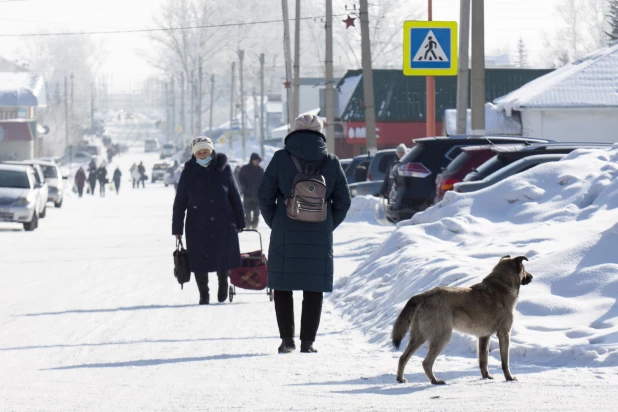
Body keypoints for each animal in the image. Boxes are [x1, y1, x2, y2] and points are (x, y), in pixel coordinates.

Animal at [392, 256, 532, 384]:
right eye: (525, 270)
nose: (531, 277)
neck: (502, 285)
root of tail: (424, 295)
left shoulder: (484, 336)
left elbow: (483, 360)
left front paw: (486, 376)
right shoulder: (504, 334)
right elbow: (505, 362)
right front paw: (509, 378)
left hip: (419, 337)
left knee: (403, 358)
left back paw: (400, 379)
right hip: (442, 337)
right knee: (426, 362)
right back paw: (435, 381)